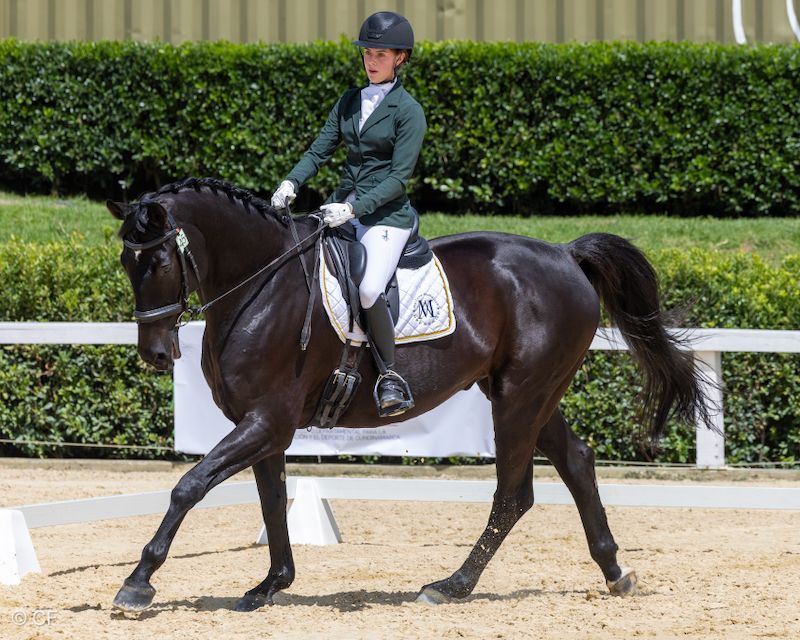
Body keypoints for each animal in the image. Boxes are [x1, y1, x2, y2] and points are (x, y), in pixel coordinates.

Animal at [106, 177, 709, 613]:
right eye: (125, 262)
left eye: (157, 261)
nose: (155, 354)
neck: (263, 284)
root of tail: (565, 254)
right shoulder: (263, 427)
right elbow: (272, 502)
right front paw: (271, 584)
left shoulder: (266, 421)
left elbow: (188, 487)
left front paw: (138, 582)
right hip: (531, 394)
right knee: (578, 462)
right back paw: (615, 573)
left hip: (519, 398)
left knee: (513, 494)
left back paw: (451, 586)